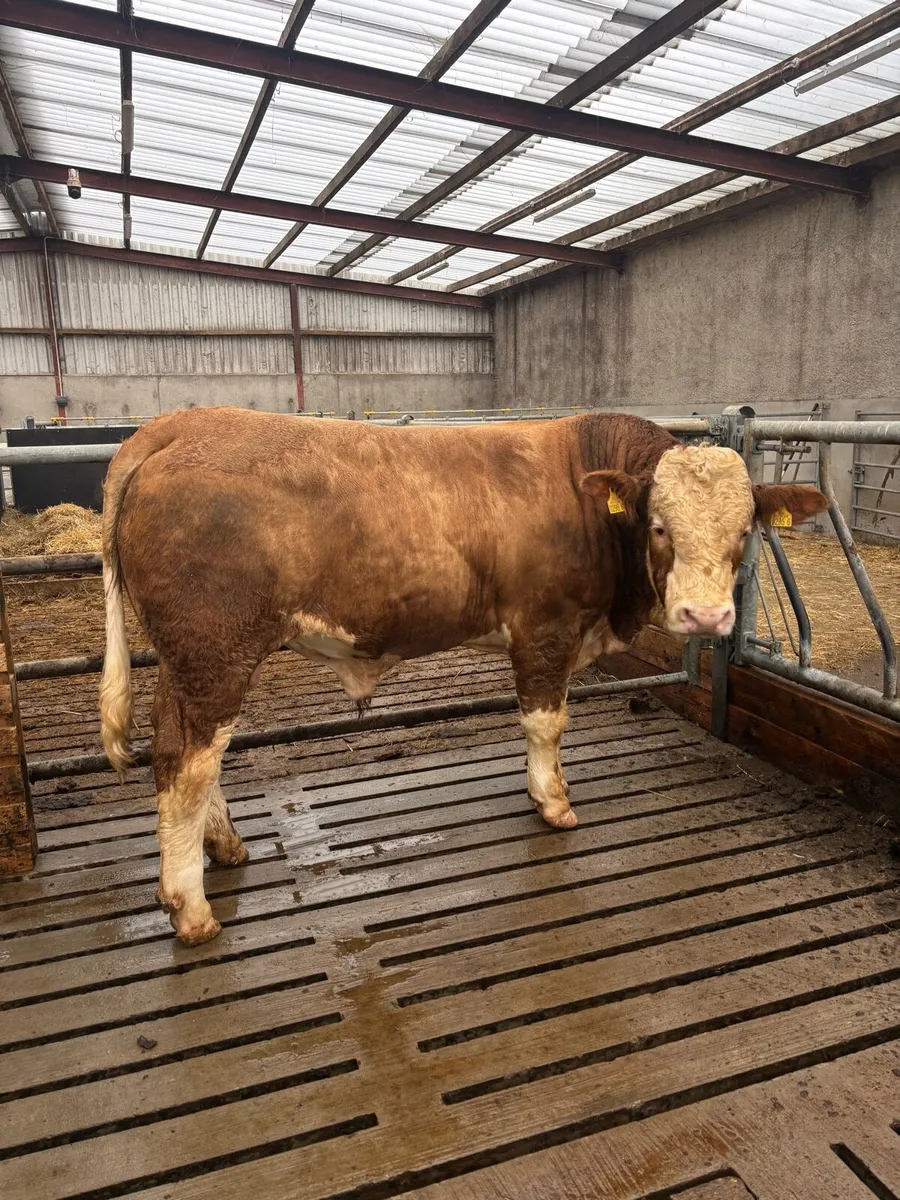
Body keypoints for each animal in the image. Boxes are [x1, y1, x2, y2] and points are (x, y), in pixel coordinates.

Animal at [99, 408, 827, 945]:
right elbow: (545, 722)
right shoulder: (546, 628)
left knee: (193, 752)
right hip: (212, 650)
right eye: (658, 525)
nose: (706, 614)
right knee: (185, 758)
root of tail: (178, 424)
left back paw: (225, 846)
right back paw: (190, 908)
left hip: (195, 659)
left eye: (744, 529)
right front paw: (553, 802)